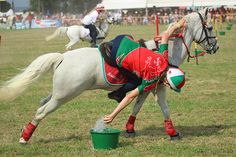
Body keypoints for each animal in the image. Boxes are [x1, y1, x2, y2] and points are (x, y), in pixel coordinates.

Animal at [0, 8, 218, 144]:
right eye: (209, 28)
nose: (215, 47)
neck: (163, 52)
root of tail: (62, 57)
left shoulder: (146, 89)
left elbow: (136, 107)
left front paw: (129, 129)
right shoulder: (158, 86)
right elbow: (164, 109)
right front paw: (173, 133)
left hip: (58, 93)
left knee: (42, 102)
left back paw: (25, 132)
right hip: (64, 95)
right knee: (41, 112)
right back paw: (25, 137)